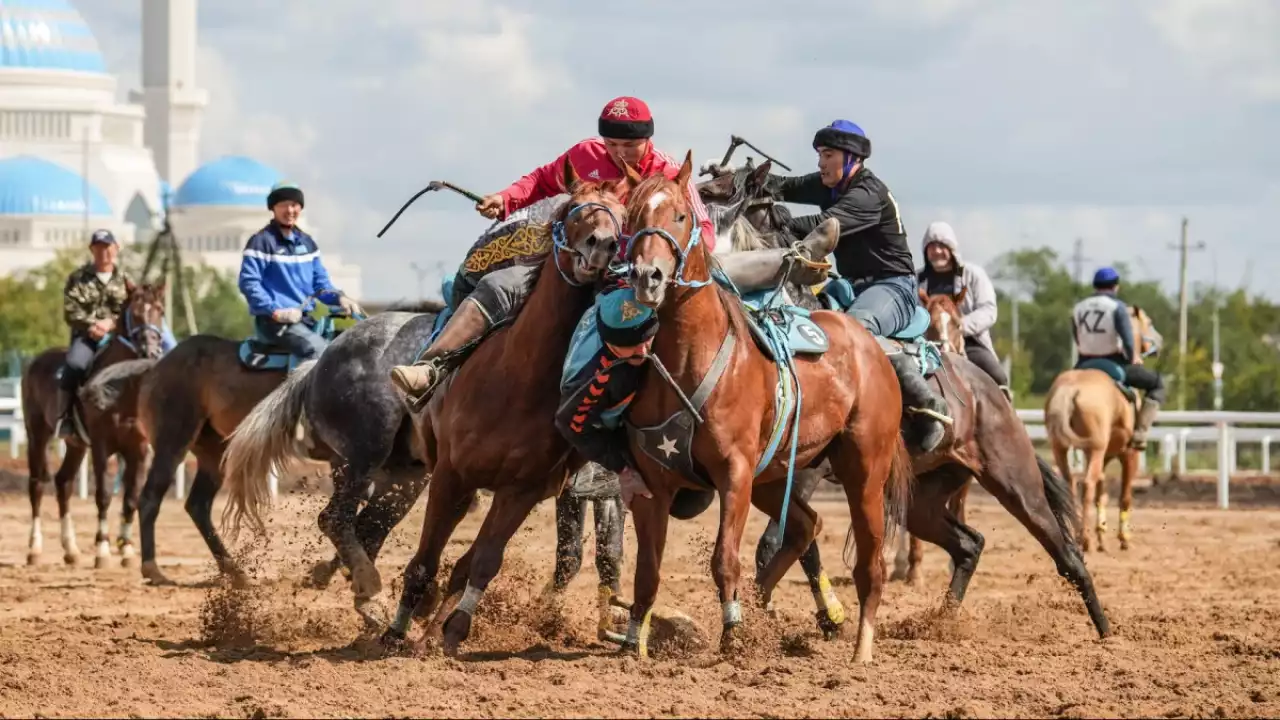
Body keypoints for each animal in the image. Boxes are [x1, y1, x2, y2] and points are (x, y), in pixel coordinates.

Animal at [20, 280, 168, 566]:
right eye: (135, 312)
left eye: (160, 310)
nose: (151, 351)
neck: (122, 387)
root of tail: (34, 362)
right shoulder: (102, 447)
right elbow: (104, 495)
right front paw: (102, 550)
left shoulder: (139, 450)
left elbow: (131, 498)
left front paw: (127, 550)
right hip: (37, 435)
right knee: (37, 485)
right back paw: (34, 549)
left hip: (75, 445)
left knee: (64, 483)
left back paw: (71, 550)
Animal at [624, 151, 916, 661]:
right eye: (635, 215)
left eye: (679, 216)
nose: (648, 277)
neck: (693, 355)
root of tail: (872, 346)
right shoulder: (652, 483)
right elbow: (647, 571)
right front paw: (632, 645)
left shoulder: (735, 475)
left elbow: (725, 558)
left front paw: (733, 635)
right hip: (777, 477)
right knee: (805, 527)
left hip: (863, 472)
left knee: (871, 565)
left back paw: (860, 650)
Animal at [1049, 302, 1162, 548]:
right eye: (1148, 322)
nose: (1157, 342)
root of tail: (1071, 390)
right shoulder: (1128, 455)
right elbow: (1124, 495)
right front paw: (1123, 537)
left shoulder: (1105, 455)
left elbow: (1102, 492)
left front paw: (1102, 533)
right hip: (1096, 449)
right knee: (1087, 484)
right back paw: (1085, 539)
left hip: (1062, 448)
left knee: (1070, 483)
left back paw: (1077, 534)